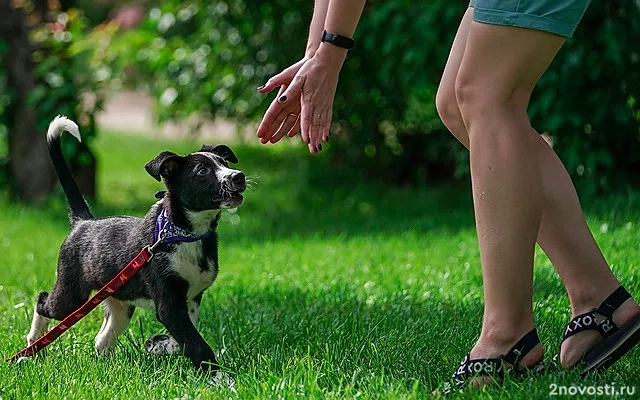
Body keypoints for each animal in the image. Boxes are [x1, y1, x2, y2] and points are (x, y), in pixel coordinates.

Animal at [26, 116, 245, 376]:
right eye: (202, 171)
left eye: (224, 163)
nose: (238, 176)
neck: (184, 234)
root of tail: (83, 222)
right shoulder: (168, 304)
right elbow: (196, 342)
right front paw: (217, 376)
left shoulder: (191, 299)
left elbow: (187, 335)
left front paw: (160, 345)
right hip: (71, 296)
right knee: (43, 300)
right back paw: (32, 345)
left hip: (119, 302)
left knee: (102, 339)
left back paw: (108, 369)